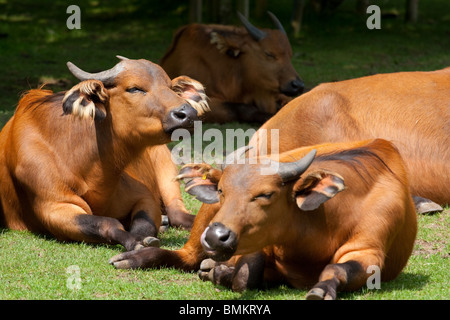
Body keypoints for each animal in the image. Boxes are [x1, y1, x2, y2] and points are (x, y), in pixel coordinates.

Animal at [0, 58, 208, 252]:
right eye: (134, 88)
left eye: (171, 88)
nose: (188, 114)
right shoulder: (54, 206)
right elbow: (105, 222)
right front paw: (135, 242)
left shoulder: (144, 196)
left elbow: (144, 225)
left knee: (177, 213)